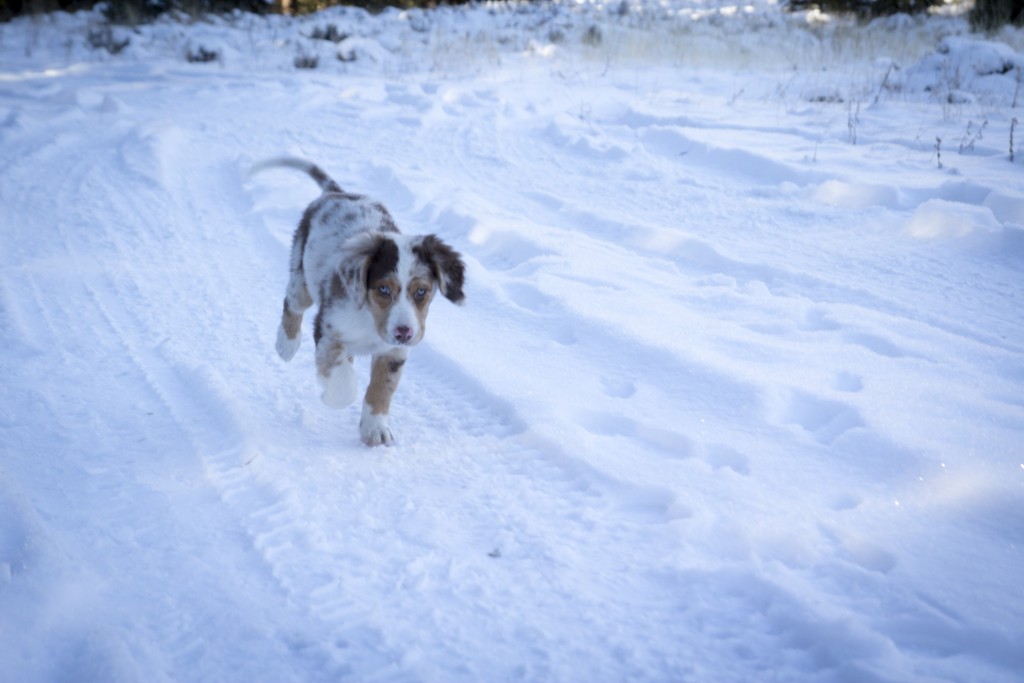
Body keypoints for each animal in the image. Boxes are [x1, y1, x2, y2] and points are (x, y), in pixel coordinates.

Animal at [249, 160, 466, 448]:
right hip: (301, 274)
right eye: (383, 289)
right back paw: (286, 345)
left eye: (422, 291)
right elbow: (340, 377)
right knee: (292, 302)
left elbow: (382, 388)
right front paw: (335, 395)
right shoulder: (329, 328)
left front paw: (375, 430)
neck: (370, 322)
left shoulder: (394, 351)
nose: (404, 332)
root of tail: (337, 193)